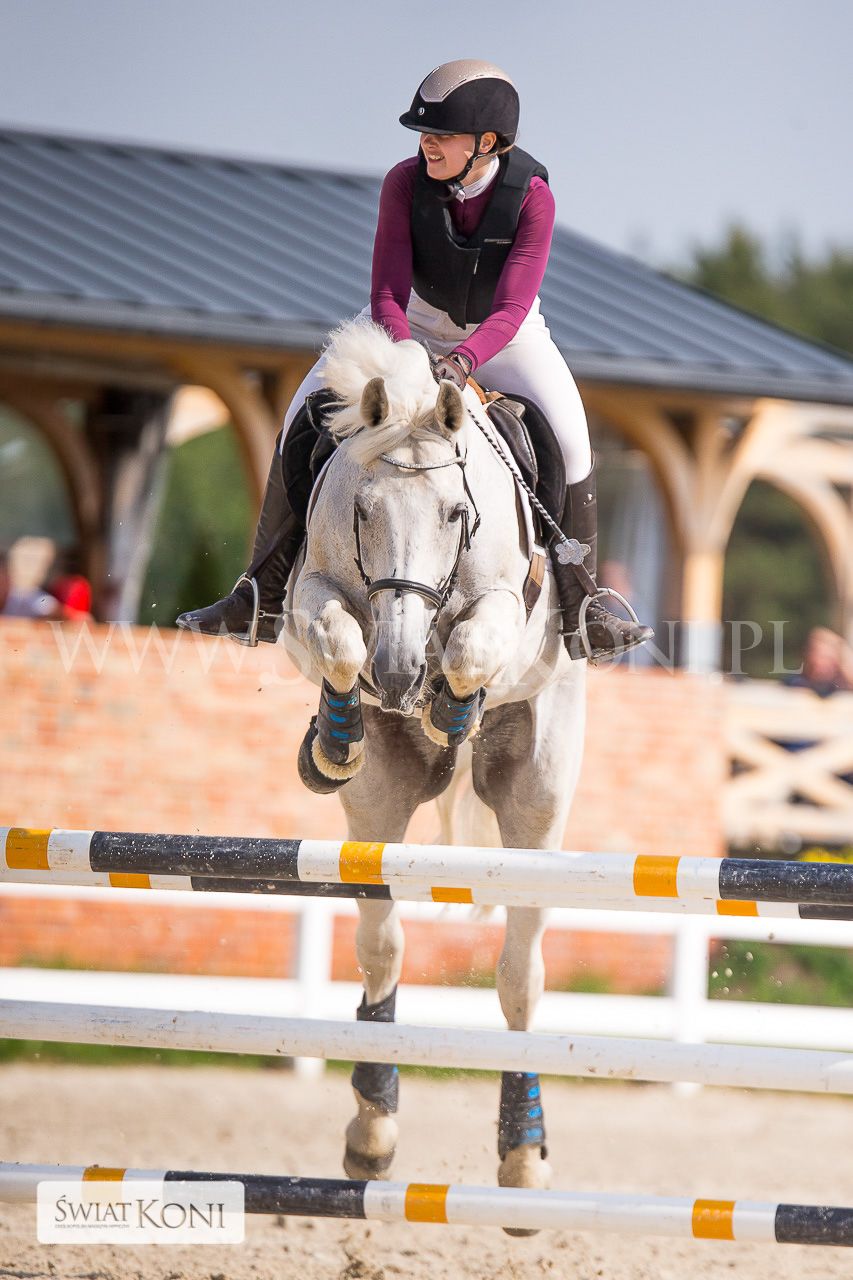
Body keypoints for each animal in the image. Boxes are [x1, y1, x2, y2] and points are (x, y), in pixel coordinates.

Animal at [280, 319, 587, 1210]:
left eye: (457, 513)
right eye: (361, 507)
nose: (397, 672)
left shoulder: (504, 610)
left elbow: (473, 645)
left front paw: (451, 704)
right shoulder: (311, 591)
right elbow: (338, 637)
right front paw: (335, 737)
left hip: (536, 813)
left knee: (519, 978)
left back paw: (522, 1155)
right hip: (378, 811)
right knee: (383, 947)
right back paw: (371, 1132)